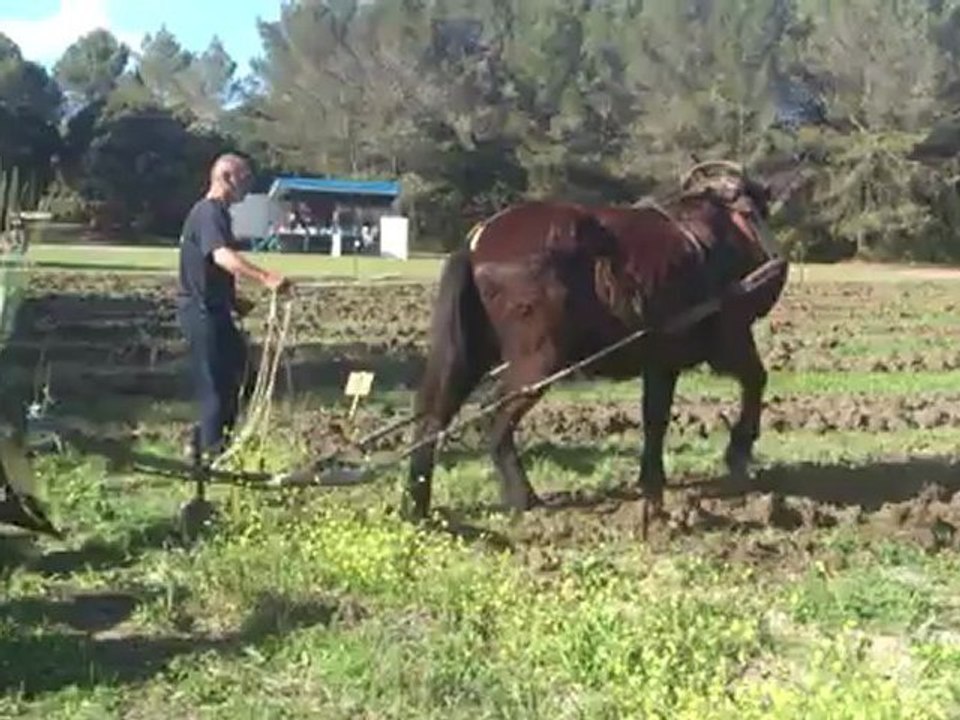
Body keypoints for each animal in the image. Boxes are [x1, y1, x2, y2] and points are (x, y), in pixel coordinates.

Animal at [404, 161, 791, 526]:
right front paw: (738, 451)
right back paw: (523, 497)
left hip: (471, 353)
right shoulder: (730, 338)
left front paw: (652, 483)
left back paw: (416, 502)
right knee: (495, 414)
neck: (722, 228)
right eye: (752, 212)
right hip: (539, 360)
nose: (778, 260)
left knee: (434, 415)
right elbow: (755, 379)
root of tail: (477, 242)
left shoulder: (661, 361)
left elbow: (656, 418)